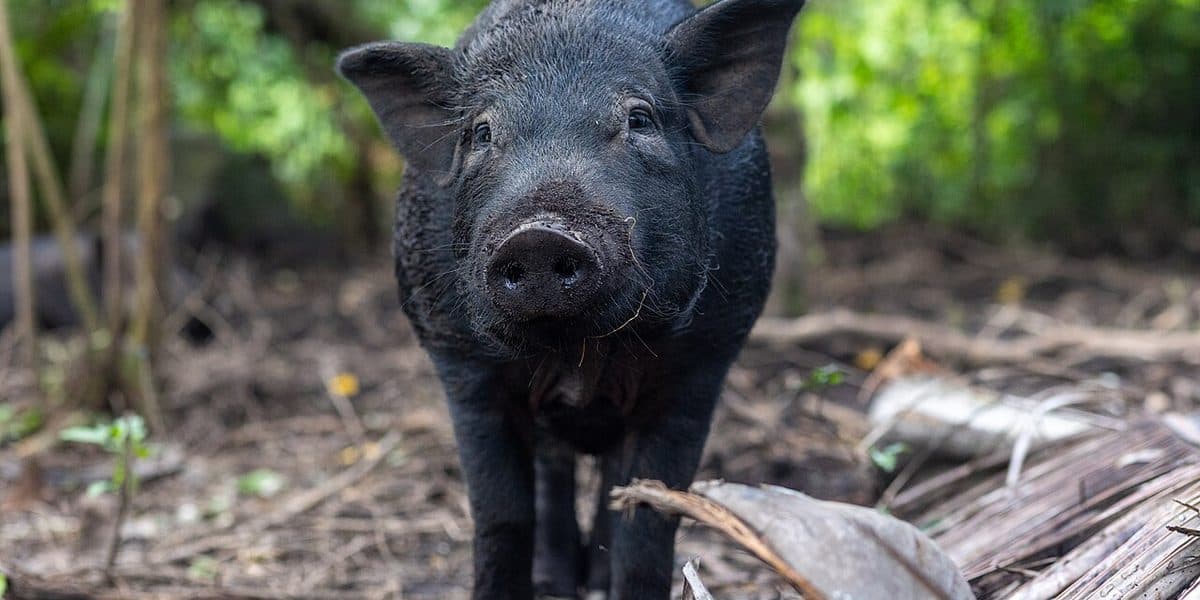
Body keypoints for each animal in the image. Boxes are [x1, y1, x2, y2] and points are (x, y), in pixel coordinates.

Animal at [337, 0, 805, 598]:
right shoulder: (462, 364)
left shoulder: (702, 362)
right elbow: (501, 515)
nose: (540, 235)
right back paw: (556, 582)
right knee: (553, 471)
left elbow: (647, 521)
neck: (578, 352)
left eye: (639, 119)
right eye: (481, 132)